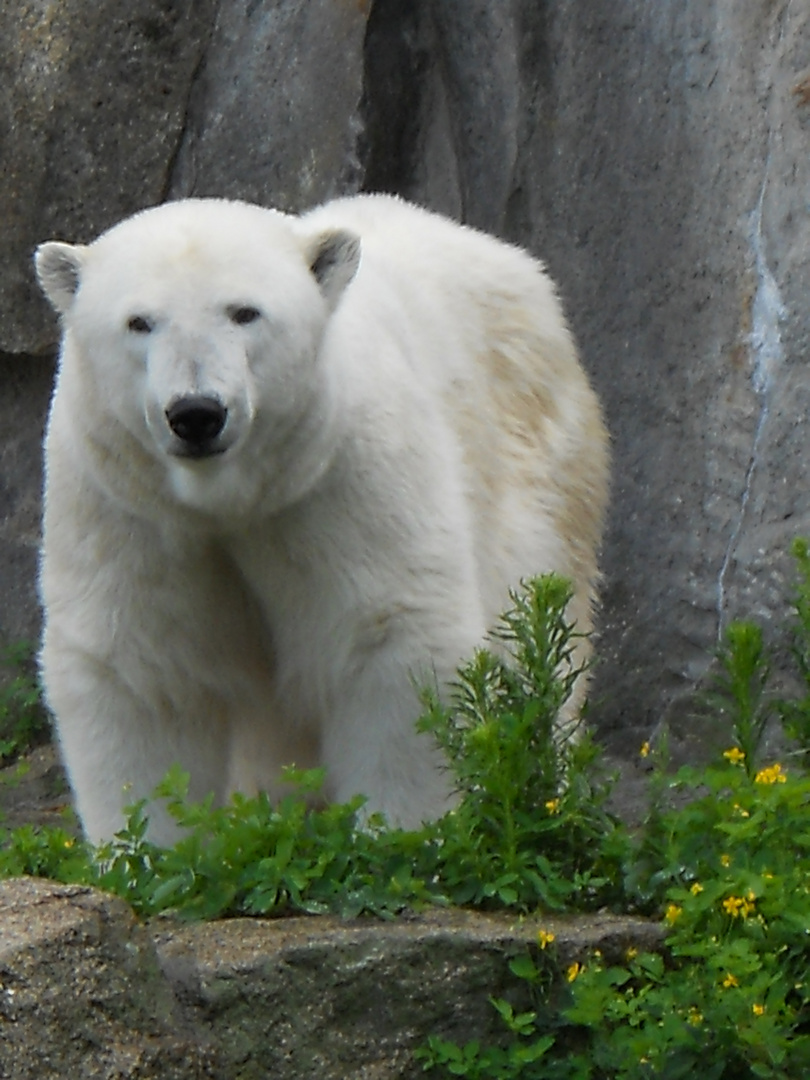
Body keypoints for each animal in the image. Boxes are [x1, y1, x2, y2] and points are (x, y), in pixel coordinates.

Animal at [38, 198, 609, 846]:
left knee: (536, 623)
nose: (197, 412)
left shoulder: (341, 477)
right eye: (139, 322)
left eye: (244, 312)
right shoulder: (126, 504)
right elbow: (140, 669)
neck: (229, 498)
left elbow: (390, 634)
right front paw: (150, 851)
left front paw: (402, 835)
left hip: (532, 462)